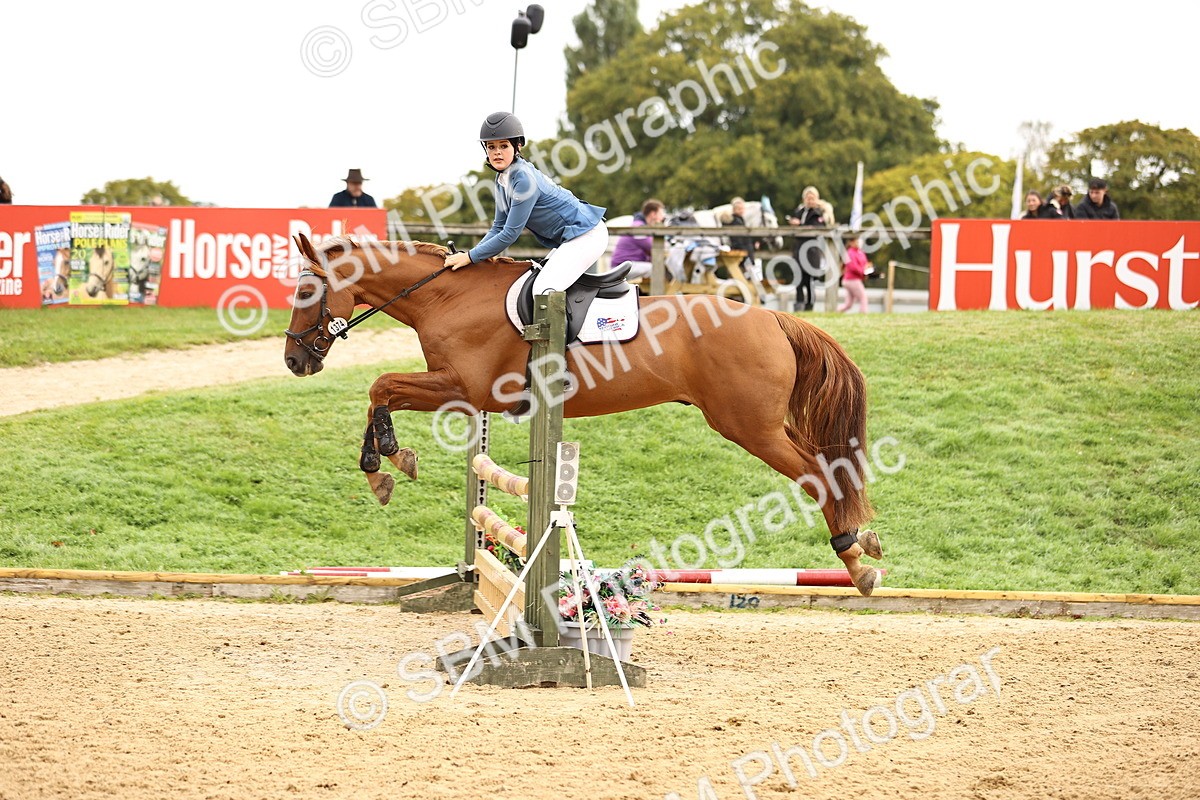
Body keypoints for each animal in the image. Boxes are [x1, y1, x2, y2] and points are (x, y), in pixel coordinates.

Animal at [282, 233, 884, 595]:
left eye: (308, 291)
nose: (294, 360)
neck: (447, 298)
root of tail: (772, 317)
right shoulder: (459, 392)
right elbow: (379, 392)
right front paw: (382, 466)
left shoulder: (466, 389)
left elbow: (380, 384)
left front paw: (388, 456)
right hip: (761, 423)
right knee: (827, 467)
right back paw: (864, 546)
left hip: (748, 426)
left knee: (818, 475)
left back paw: (857, 562)